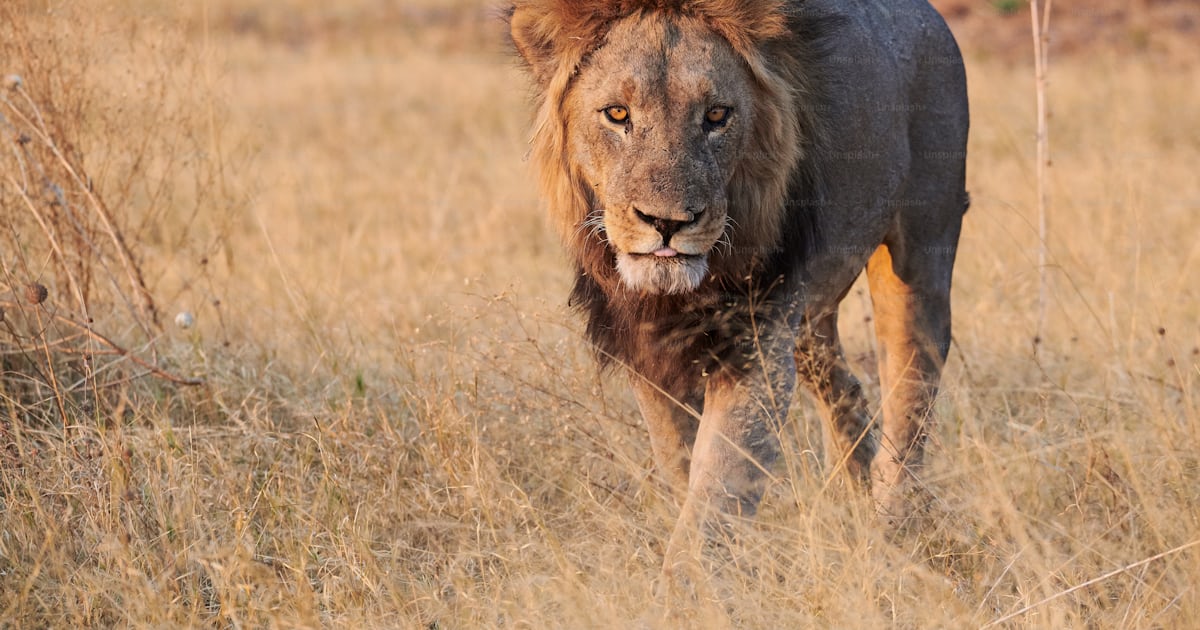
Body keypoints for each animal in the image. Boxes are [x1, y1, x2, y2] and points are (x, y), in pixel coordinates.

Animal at [508, 0, 969, 575]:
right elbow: (678, 462)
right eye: (617, 114)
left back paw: (889, 526)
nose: (667, 223)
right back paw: (854, 499)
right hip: (810, 319)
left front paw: (689, 581)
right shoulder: (650, 353)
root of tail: (932, 15)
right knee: (844, 387)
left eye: (716, 116)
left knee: (912, 386)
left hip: (922, 247)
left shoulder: (757, 349)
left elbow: (716, 489)